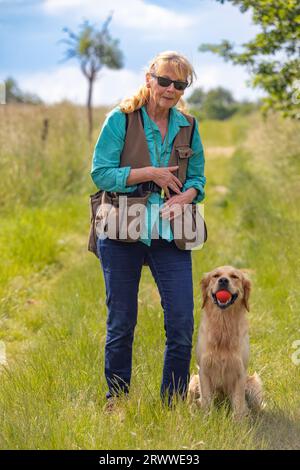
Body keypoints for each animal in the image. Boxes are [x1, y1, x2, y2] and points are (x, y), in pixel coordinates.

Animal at [189, 264, 264, 418]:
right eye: (216, 276)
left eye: (235, 276)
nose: (223, 280)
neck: (223, 324)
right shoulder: (204, 370)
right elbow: (206, 400)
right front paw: (206, 419)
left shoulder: (240, 371)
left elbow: (239, 403)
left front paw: (239, 421)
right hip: (193, 383)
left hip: (254, 384)